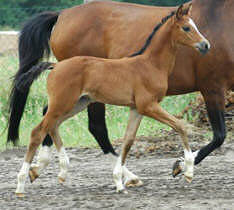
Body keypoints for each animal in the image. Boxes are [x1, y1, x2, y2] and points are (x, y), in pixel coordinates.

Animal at [7, 0, 234, 180]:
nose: (205, 45)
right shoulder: (210, 88)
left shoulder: (139, 107)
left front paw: (182, 164)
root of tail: (62, 15)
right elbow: (213, 134)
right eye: (187, 28)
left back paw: (41, 167)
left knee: (51, 118)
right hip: (81, 100)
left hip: (78, 100)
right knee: (91, 126)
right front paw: (182, 166)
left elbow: (130, 139)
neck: (150, 62)